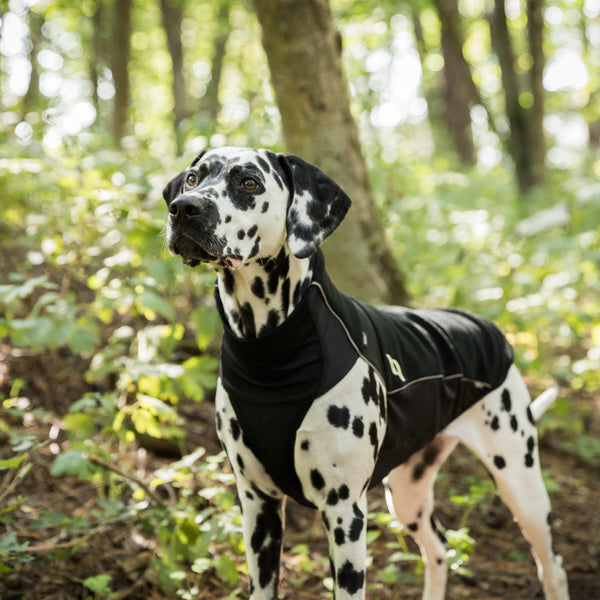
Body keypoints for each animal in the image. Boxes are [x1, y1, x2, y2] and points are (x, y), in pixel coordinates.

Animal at [162, 146, 568, 600]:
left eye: (249, 182)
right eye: (194, 178)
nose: (183, 208)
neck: (269, 351)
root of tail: (489, 328)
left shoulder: (344, 514)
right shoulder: (258, 505)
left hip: (521, 483)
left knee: (551, 565)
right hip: (408, 492)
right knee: (438, 548)